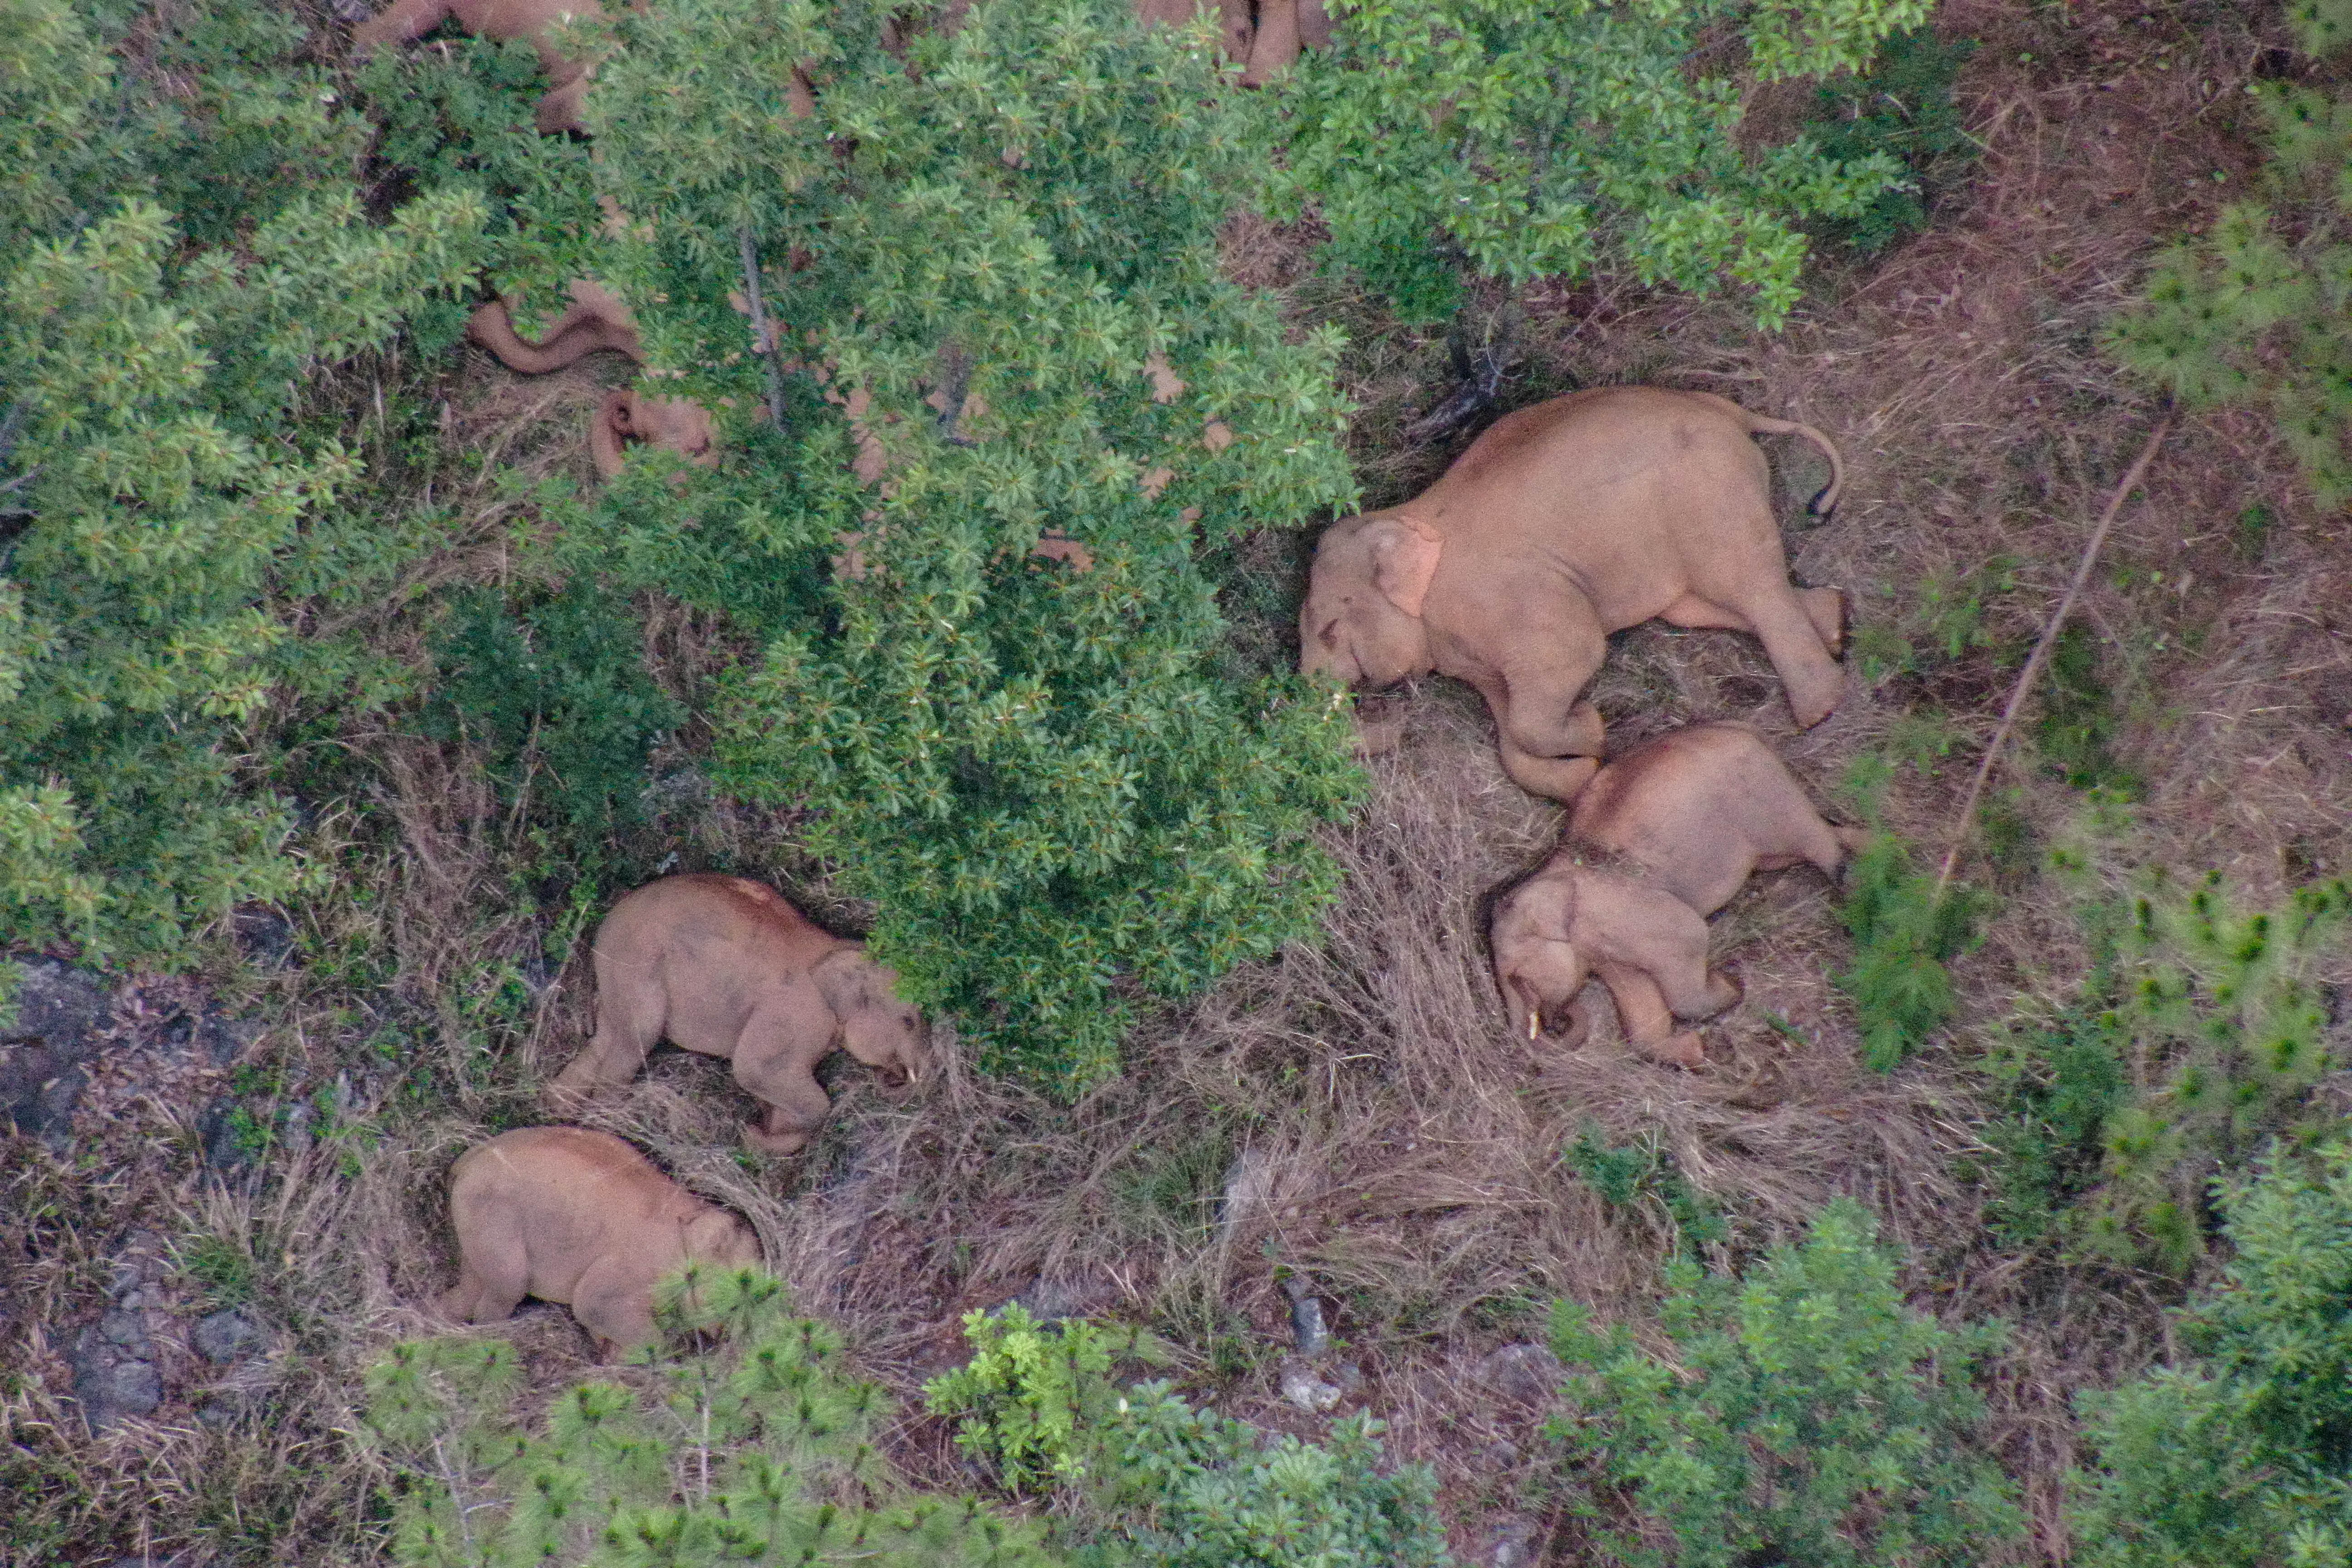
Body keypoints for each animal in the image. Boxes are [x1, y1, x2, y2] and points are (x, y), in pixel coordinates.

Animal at [442, 1128, 762, 1363]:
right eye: (733, 1303)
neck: (697, 1220)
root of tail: (465, 1162)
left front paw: (608, 1350)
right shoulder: (640, 1265)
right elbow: (591, 1304)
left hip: (474, 1223)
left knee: (468, 1287)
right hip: (492, 1213)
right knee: (507, 1285)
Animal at [545, 879, 922, 1161]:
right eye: (909, 1021)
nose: (892, 1078)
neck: (840, 950)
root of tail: (606, 920)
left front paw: (766, 1130)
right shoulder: (796, 1014)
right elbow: (755, 1070)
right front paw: (752, 1132)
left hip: (618, 972)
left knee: (607, 1037)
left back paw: (559, 1111)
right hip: (636, 961)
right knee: (636, 1039)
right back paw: (613, 1121)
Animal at [1298, 390, 1844, 808]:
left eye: (1330, 630)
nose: (1401, 723)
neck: (1401, 516)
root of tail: (1733, 413)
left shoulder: (1509, 599)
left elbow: (1568, 662)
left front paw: (1593, 728)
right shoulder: (1466, 650)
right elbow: (1509, 730)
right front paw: (1584, 770)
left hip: (1708, 490)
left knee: (1749, 584)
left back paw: (1820, 711)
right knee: (1699, 605)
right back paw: (1837, 624)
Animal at [1486, 719, 1872, 1067]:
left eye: (1517, 978)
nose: (1556, 1023)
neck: (1546, 880)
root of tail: (1740, 729)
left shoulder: (1629, 916)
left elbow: (1690, 937)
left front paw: (1732, 981)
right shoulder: (1609, 955)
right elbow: (1641, 1015)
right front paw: (1699, 1050)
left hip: (1765, 799)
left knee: (1821, 846)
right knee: (1822, 835)